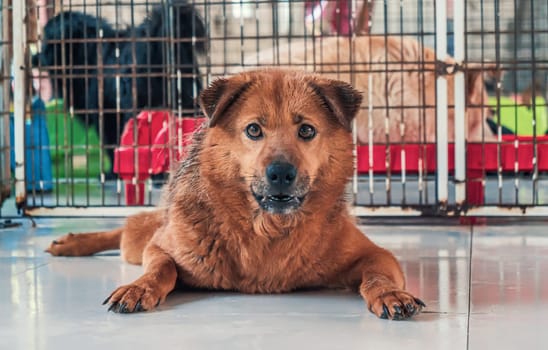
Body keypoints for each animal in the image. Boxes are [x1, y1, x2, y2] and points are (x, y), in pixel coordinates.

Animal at [46, 68, 424, 320]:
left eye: (306, 130)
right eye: (253, 130)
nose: (281, 173)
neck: (267, 231)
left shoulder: (376, 255)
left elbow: (376, 275)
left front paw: (391, 293)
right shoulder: (162, 248)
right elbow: (161, 269)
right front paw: (140, 287)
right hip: (143, 239)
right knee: (130, 230)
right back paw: (72, 242)